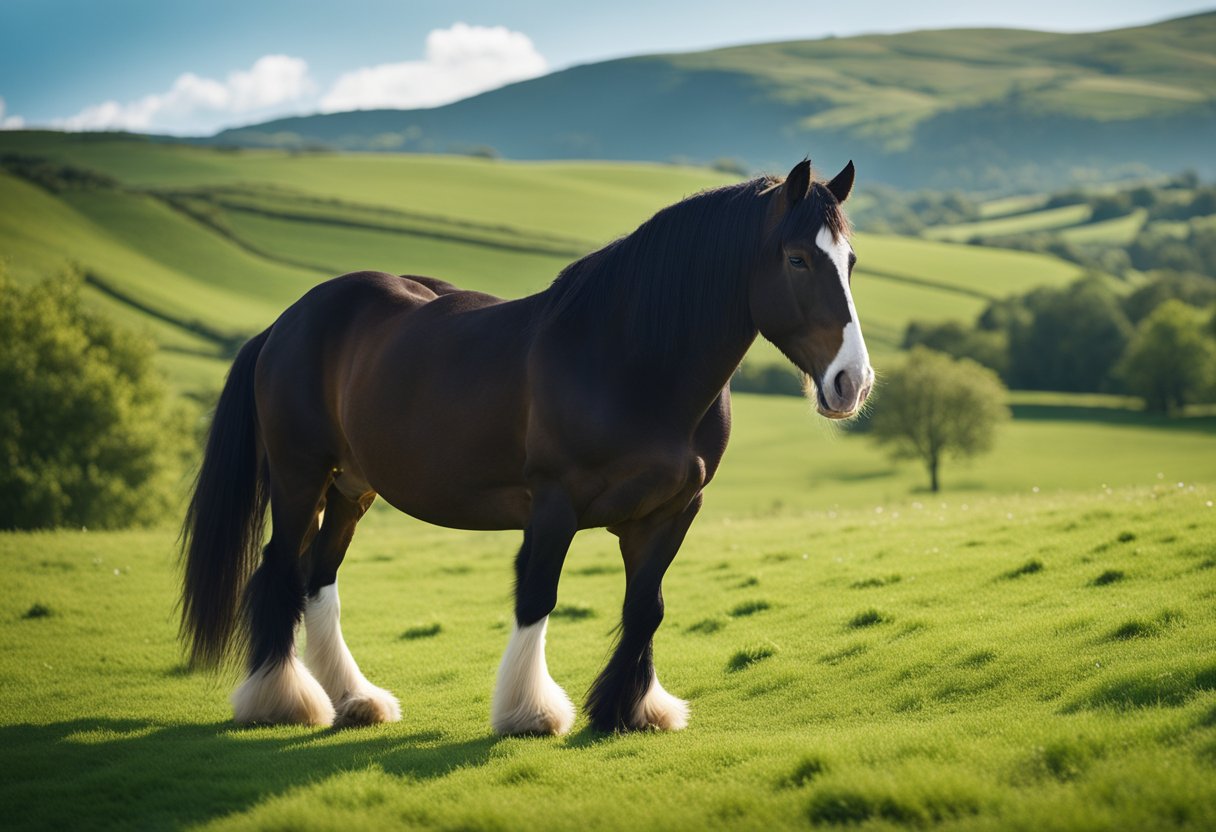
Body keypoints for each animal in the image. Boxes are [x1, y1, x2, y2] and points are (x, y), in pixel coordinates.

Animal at [177, 159, 875, 729]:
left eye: (850, 262)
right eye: (796, 259)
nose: (853, 382)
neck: (631, 359)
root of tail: (285, 322)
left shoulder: (671, 513)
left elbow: (646, 607)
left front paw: (630, 710)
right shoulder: (555, 504)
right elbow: (537, 596)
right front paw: (530, 712)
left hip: (351, 487)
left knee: (320, 577)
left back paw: (357, 701)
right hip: (300, 477)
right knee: (280, 569)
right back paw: (282, 700)